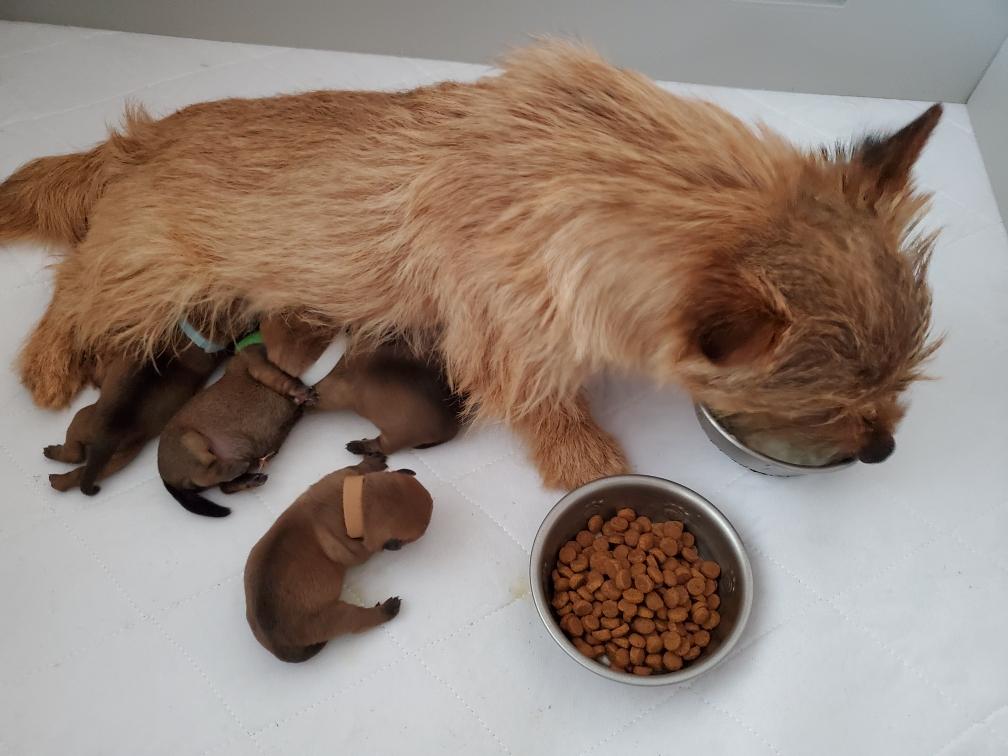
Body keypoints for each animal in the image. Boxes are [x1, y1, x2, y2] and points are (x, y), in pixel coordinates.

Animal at [44, 342, 222, 495]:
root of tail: (110, 436)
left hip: (81, 419)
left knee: (75, 454)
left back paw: (54, 457)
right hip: (120, 458)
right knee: (82, 473)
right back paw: (58, 481)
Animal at [244, 455, 432, 662]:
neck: (353, 506)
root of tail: (277, 645)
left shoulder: (339, 477)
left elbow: (355, 468)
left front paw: (372, 462)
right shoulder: (358, 551)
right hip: (334, 617)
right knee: (359, 621)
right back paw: (387, 610)